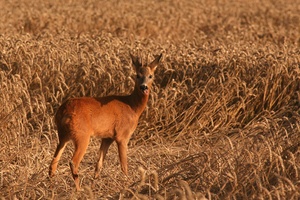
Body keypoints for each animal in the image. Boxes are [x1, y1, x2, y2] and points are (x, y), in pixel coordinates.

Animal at [48, 52, 162, 191]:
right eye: (137, 75)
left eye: (151, 76)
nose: (143, 87)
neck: (132, 107)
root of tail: (63, 111)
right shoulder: (122, 135)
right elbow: (124, 165)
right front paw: (128, 185)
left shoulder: (107, 137)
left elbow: (99, 164)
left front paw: (94, 186)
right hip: (82, 135)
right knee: (73, 162)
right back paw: (79, 190)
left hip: (63, 135)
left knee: (53, 162)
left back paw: (51, 187)